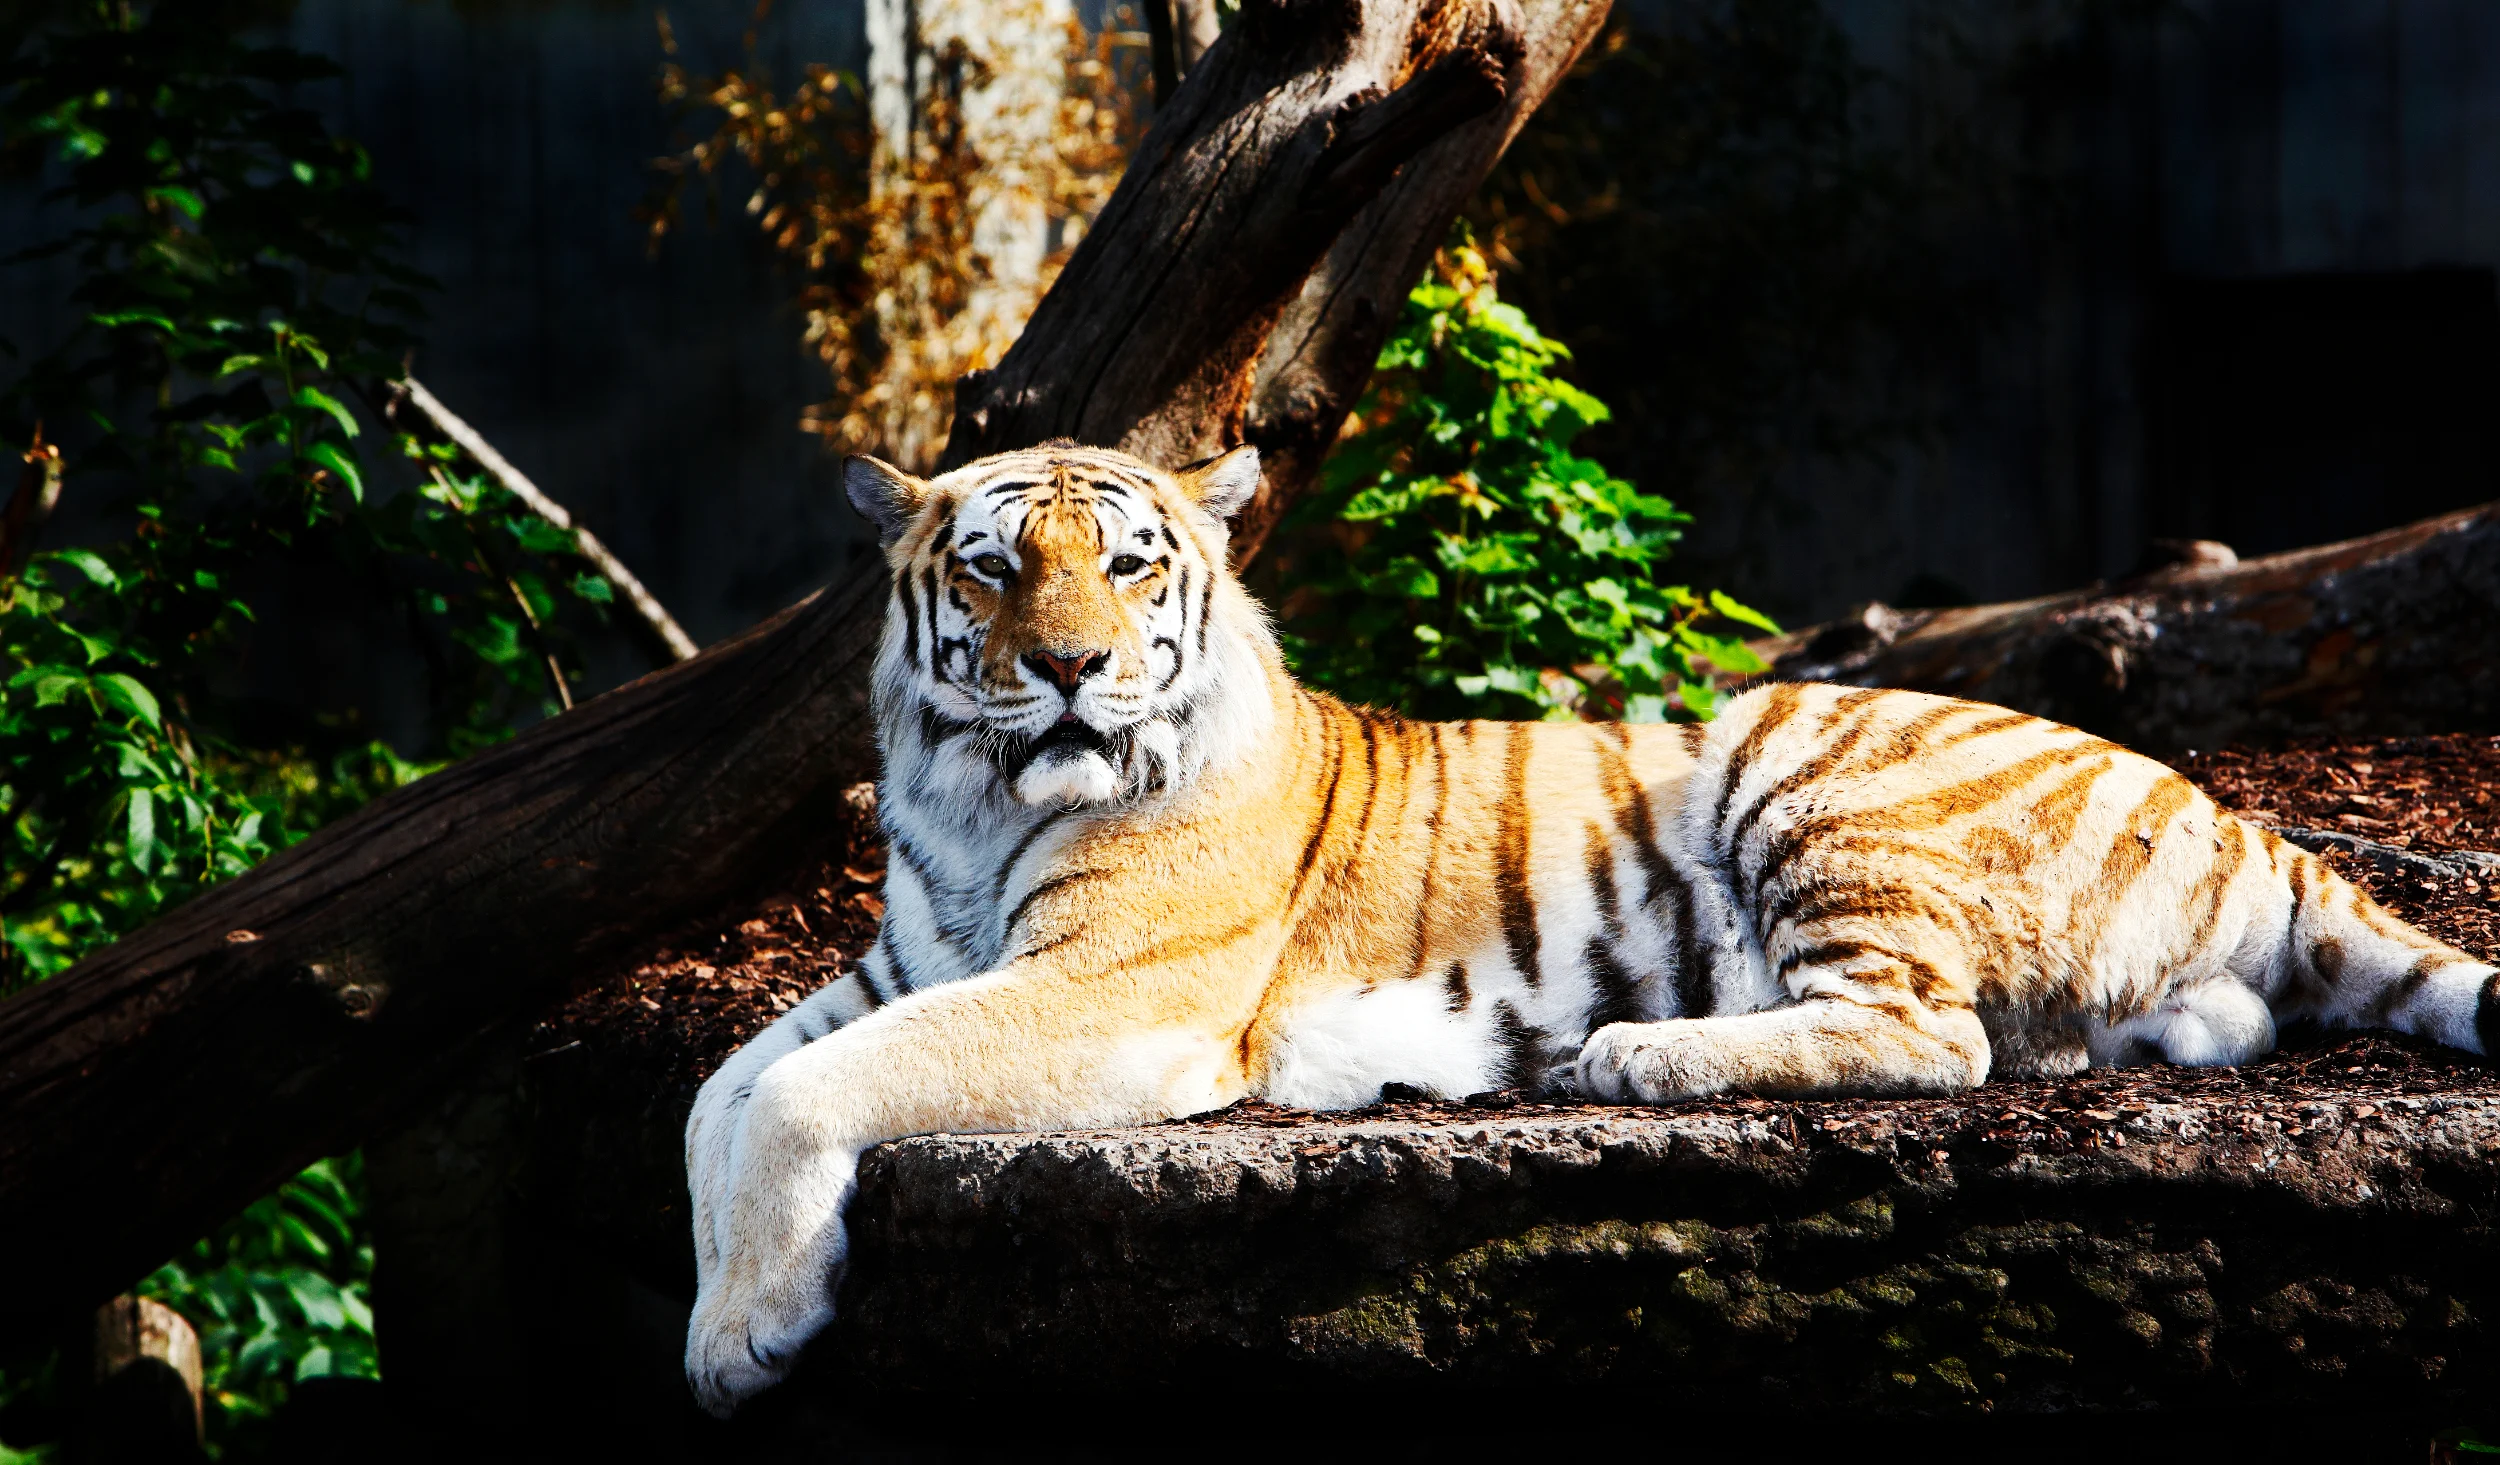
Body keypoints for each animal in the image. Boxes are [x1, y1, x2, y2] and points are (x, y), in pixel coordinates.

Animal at [682, 440, 2500, 1416]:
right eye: (995, 572)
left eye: (1130, 569)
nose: (1070, 669)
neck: (975, 802)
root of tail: (2239, 812)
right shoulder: (897, 968)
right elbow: (718, 1097)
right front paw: (722, 1309)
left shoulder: (1109, 993)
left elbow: (801, 1093)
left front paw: (748, 1333)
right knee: (2141, 1027)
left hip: (1797, 752)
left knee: (1936, 1034)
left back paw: (1630, 1052)